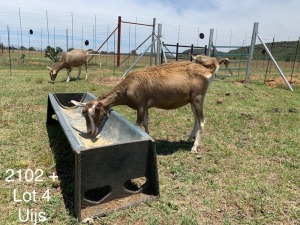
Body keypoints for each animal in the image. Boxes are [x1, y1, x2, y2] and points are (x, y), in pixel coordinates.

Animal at [72, 55, 230, 152]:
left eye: (96, 113)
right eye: (84, 114)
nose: (90, 132)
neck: (128, 86)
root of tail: (208, 71)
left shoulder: (141, 105)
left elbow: (138, 125)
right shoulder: (145, 107)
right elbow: (146, 123)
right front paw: (149, 137)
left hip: (198, 98)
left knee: (202, 121)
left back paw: (194, 147)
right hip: (191, 100)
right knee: (197, 120)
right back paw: (189, 139)